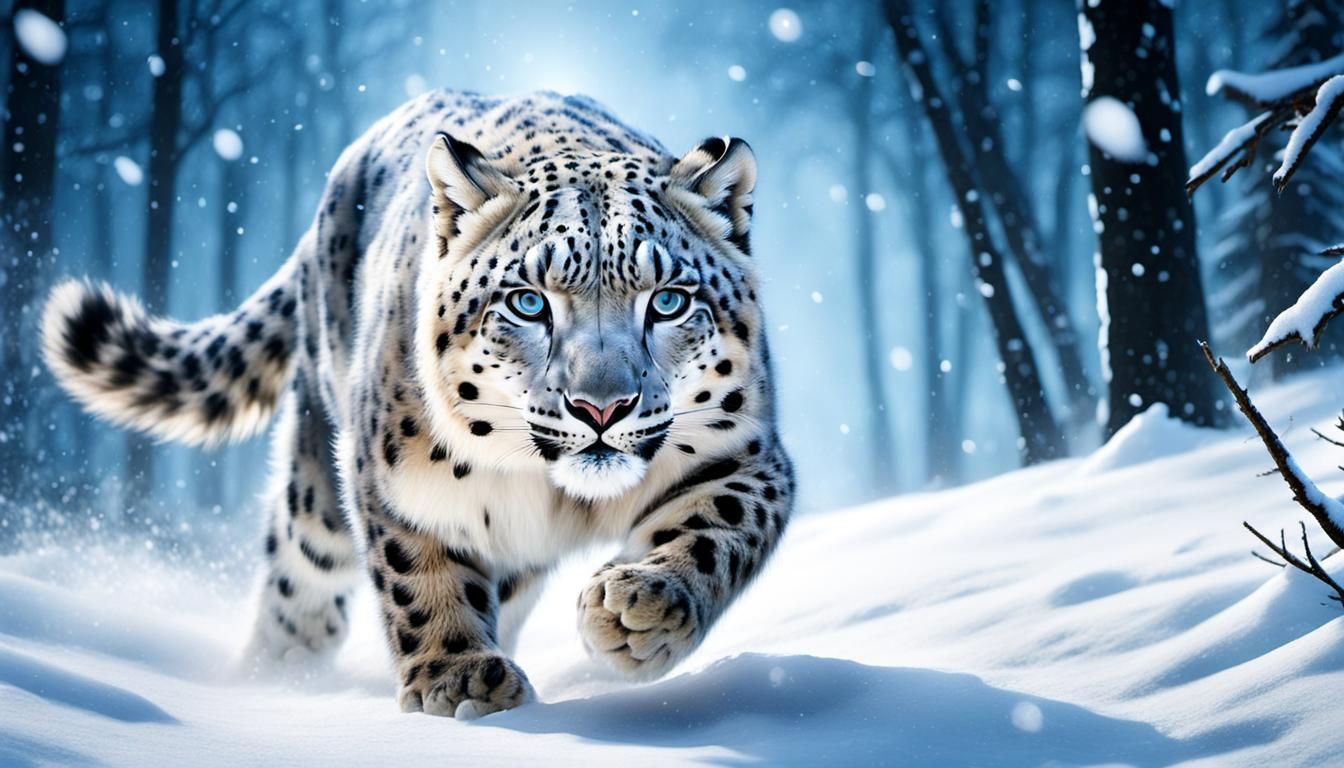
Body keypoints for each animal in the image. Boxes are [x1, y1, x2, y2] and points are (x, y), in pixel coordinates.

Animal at [40, 90, 794, 719]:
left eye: (667, 301)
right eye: (529, 302)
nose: (600, 408)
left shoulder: (746, 449)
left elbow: (719, 526)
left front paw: (642, 609)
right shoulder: (393, 477)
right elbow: (417, 570)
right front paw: (458, 680)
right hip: (318, 490)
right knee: (298, 579)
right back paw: (277, 678)